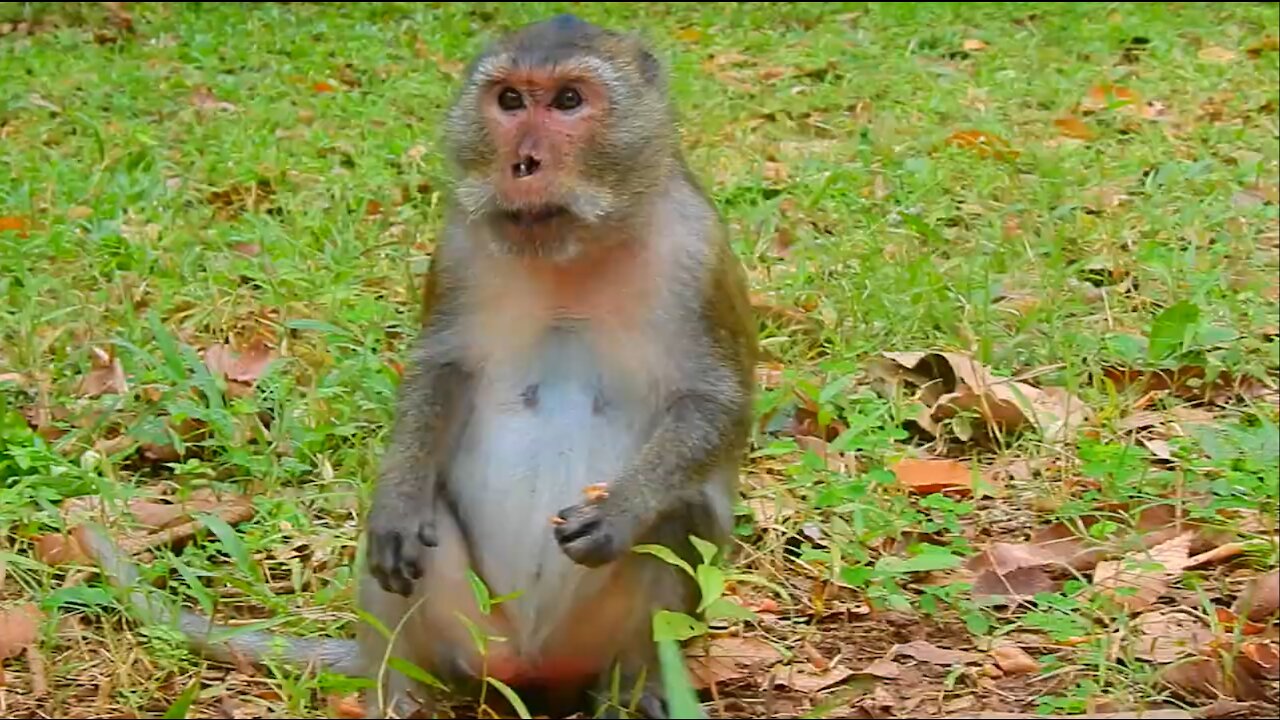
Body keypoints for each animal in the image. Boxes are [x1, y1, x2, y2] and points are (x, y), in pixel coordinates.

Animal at [74, 16, 752, 717]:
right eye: (510, 101)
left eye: (569, 100)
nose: (524, 163)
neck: (573, 253)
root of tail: (531, 665)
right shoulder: (458, 243)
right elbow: (440, 370)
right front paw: (398, 500)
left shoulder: (697, 248)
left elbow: (717, 402)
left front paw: (622, 509)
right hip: (470, 629)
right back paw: (393, 688)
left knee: (682, 521)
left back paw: (638, 691)